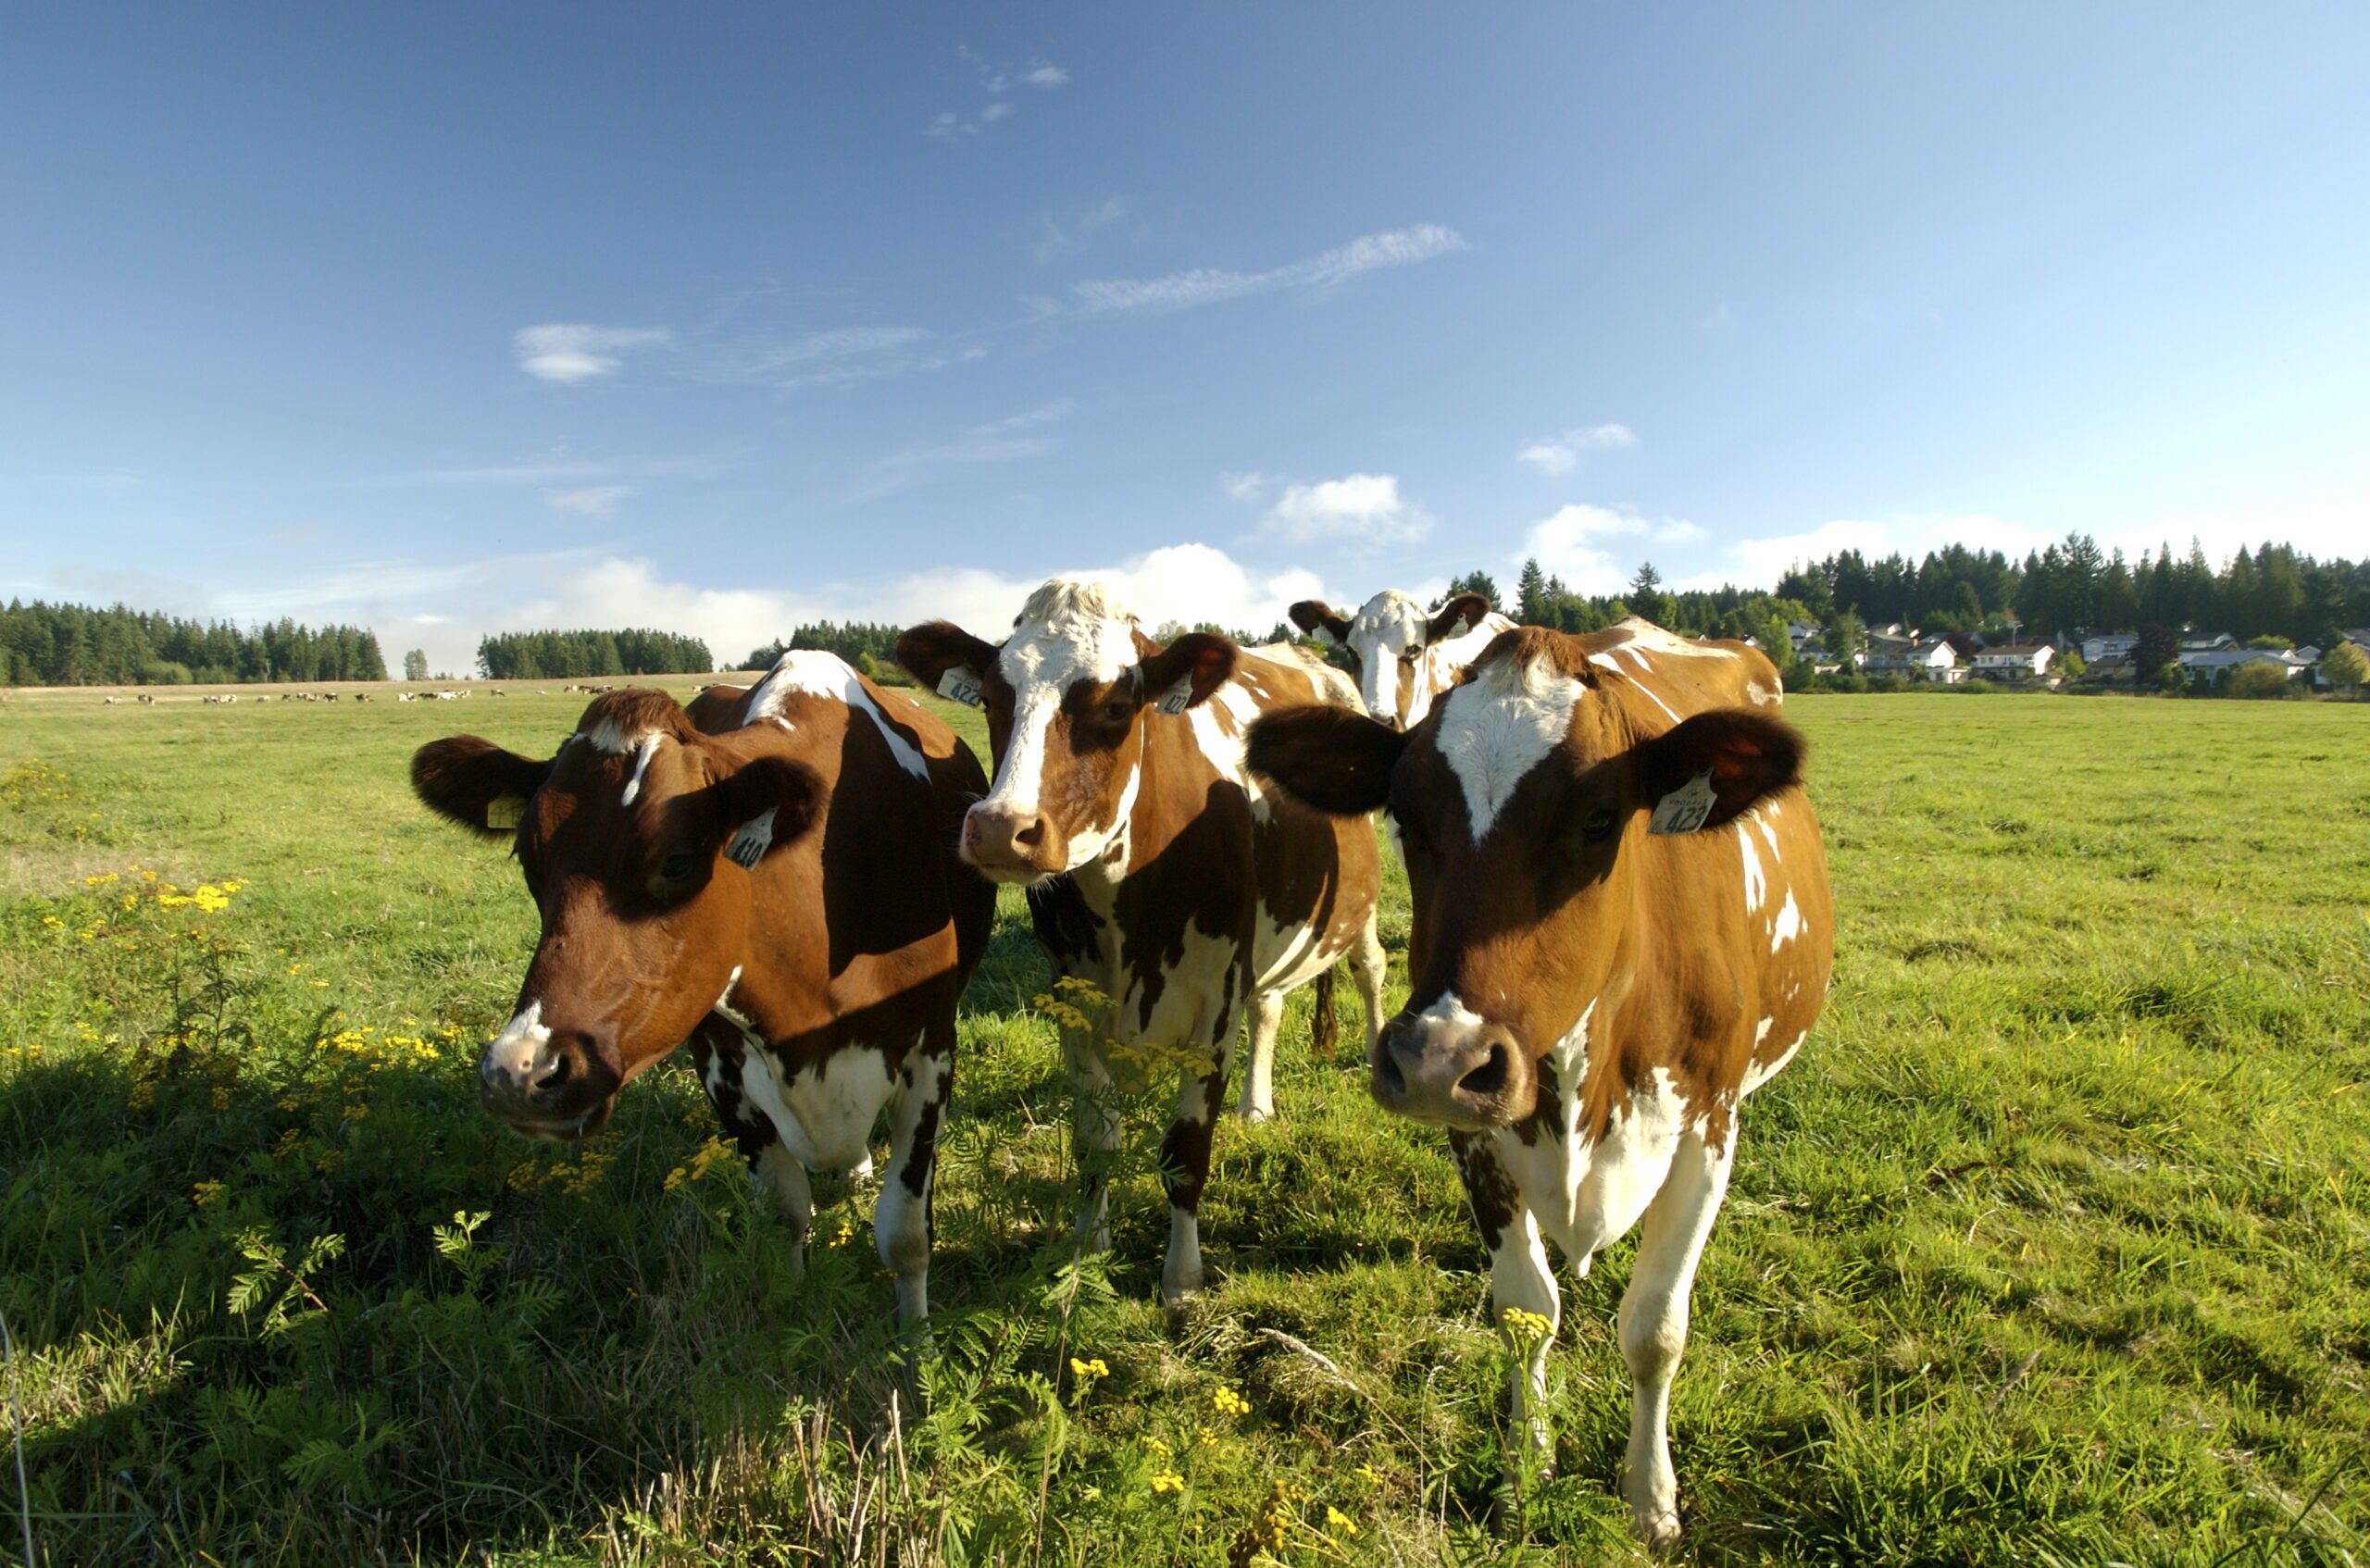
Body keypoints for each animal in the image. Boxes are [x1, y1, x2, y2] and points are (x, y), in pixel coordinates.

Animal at [409, 654, 994, 1325]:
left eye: (677, 861)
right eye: (529, 861)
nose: (519, 1073)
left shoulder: (932, 1052)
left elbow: (905, 1234)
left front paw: (913, 1338)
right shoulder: (721, 1070)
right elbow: (783, 1217)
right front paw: (788, 1311)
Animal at [896, 579, 1387, 1308]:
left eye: (1117, 706)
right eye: (989, 698)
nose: (1000, 828)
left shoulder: (1214, 1005)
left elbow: (1185, 1154)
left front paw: (1181, 1280)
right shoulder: (1072, 999)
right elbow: (1096, 1140)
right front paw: (1084, 1248)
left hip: (1362, 907)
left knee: (1370, 971)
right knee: (1270, 1006)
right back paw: (1256, 1105)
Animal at [1245, 618, 1830, 1544]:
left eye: (1598, 818)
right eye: (1407, 817)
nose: (1439, 1060)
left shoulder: (1709, 1129)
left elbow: (1656, 1329)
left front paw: (1650, 1497)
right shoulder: (1477, 1135)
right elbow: (1526, 1312)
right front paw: (1529, 1471)